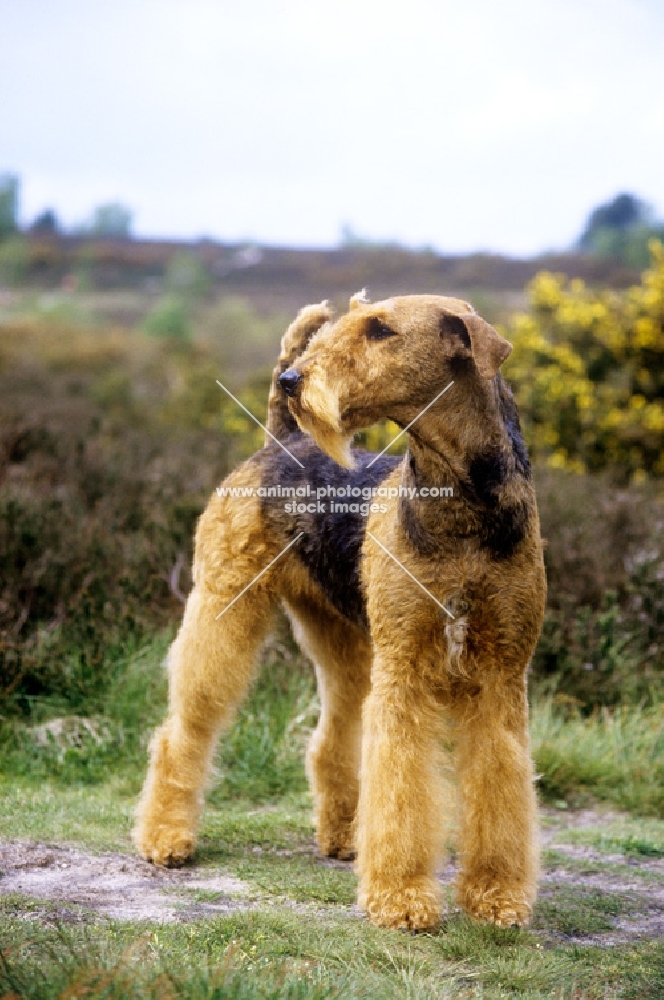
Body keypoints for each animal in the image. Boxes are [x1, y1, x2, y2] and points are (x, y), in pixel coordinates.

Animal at [134, 290, 544, 928]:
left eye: (380, 329)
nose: (293, 380)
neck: (461, 501)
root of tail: (282, 439)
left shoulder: (502, 672)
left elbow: (498, 783)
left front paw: (496, 896)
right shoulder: (405, 668)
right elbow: (400, 784)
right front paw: (401, 899)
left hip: (342, 638)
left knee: (331, 740)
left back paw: (344, 837)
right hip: (224, 607)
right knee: (184, 729)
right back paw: (166, 838)